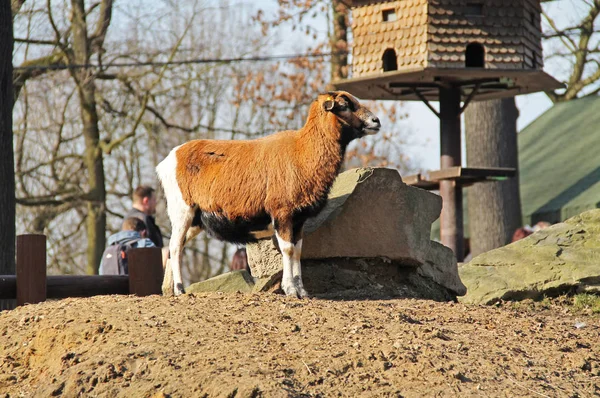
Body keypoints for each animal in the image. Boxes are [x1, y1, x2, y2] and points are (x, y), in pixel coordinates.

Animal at [155, 90, 380, 296]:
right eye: (344, 105)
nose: (376, 121)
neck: (303, 151)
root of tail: (168, 160)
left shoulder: (299, 220)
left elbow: (298, 251)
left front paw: (302, 291)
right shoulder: (282, 213)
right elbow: (287, 249)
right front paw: (290, 290)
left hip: (196, 220)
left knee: (176, 247)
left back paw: (169, 289)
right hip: (182, 210)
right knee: (175, 247)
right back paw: (180, 289)